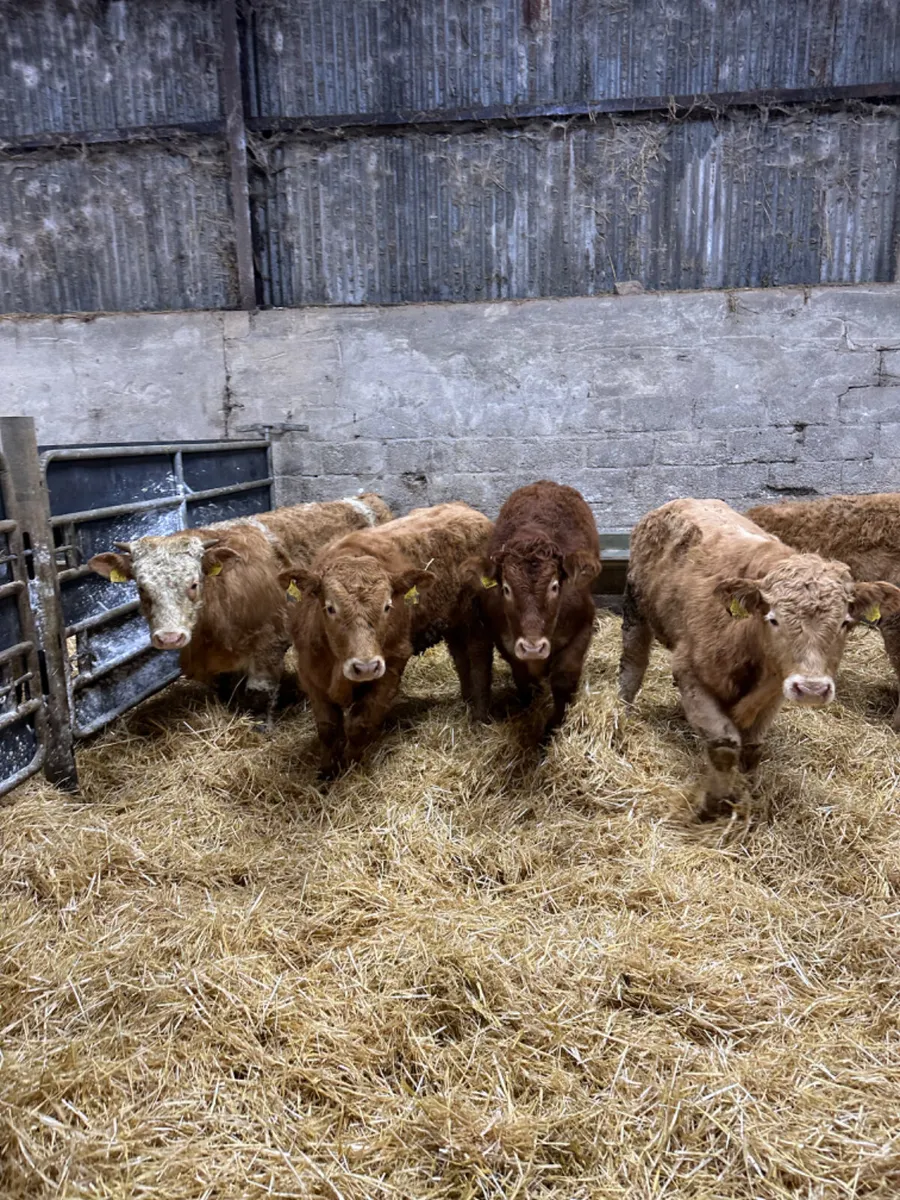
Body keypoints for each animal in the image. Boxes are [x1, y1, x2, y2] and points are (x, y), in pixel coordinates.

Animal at [88, 494, 392, 727]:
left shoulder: (270, 644)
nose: (170, 637)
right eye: (141, 588)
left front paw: (260, 729)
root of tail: (365, 498)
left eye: (194, 583)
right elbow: (227, 693)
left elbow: (259, 695)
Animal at [282, 502, 493, 776]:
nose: (365, 667)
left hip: (475, 619)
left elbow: (359, 724)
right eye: (330, 608)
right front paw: (327, 771)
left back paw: (479, 716)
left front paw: (353, 766)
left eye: (387, 606)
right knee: (460, 656)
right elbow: (327, 728)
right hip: (453, 621)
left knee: (479, 658)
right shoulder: (310, 675)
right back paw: (467, 699)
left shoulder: (391, 664)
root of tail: (467, 510)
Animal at [467, 481, 602, 739]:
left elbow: (564, 678)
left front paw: (553, 726)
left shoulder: (582, 626)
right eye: (506, 589)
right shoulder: (504, 639)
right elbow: (523, 679)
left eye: (555, 586)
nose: (532, 647)